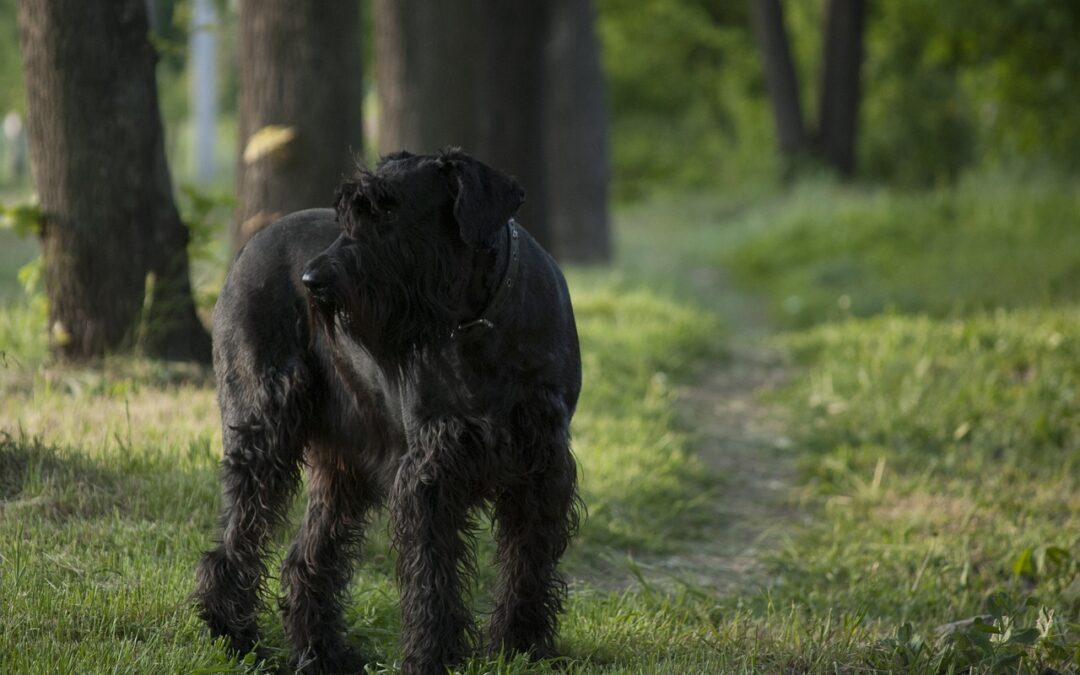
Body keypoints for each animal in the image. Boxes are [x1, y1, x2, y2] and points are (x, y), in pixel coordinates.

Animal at [194, 150, 583, 669]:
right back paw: (232, 636)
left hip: (344, 466)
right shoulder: (431, 471)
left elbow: (529, 560)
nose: (313, 281)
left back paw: (322, 652)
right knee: (237, 540)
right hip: (263, 428)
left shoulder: (540, 467)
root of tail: (249, 244)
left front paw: (522, 648)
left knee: (306, 557)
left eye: (391, 209)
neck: (479, 322)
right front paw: (432, 656)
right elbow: (431, 574)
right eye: (348, 212)